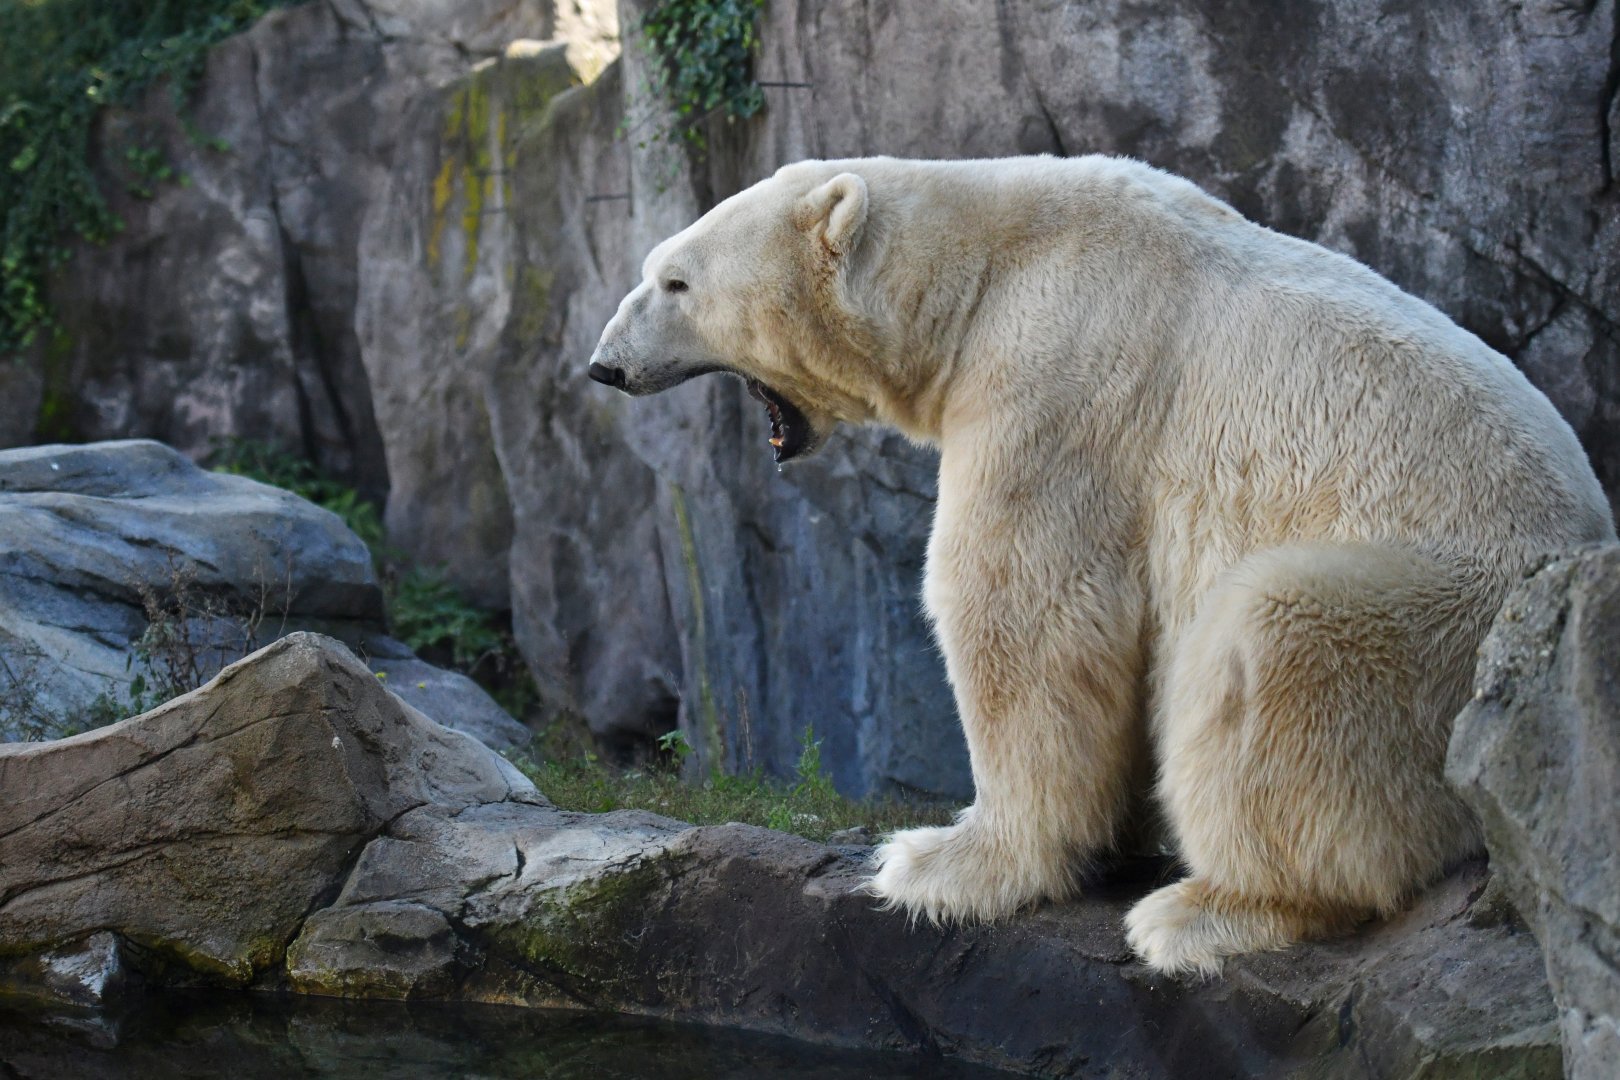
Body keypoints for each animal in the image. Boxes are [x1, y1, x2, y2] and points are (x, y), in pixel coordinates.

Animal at [586, 155, 1615, 975]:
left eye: (675, 281)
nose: (603, 366)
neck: (977, 273)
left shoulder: (1057, 384)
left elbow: (1022, 610)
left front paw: (940, 861)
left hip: (1450, 618)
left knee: (1275, 638)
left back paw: (1209, 910)